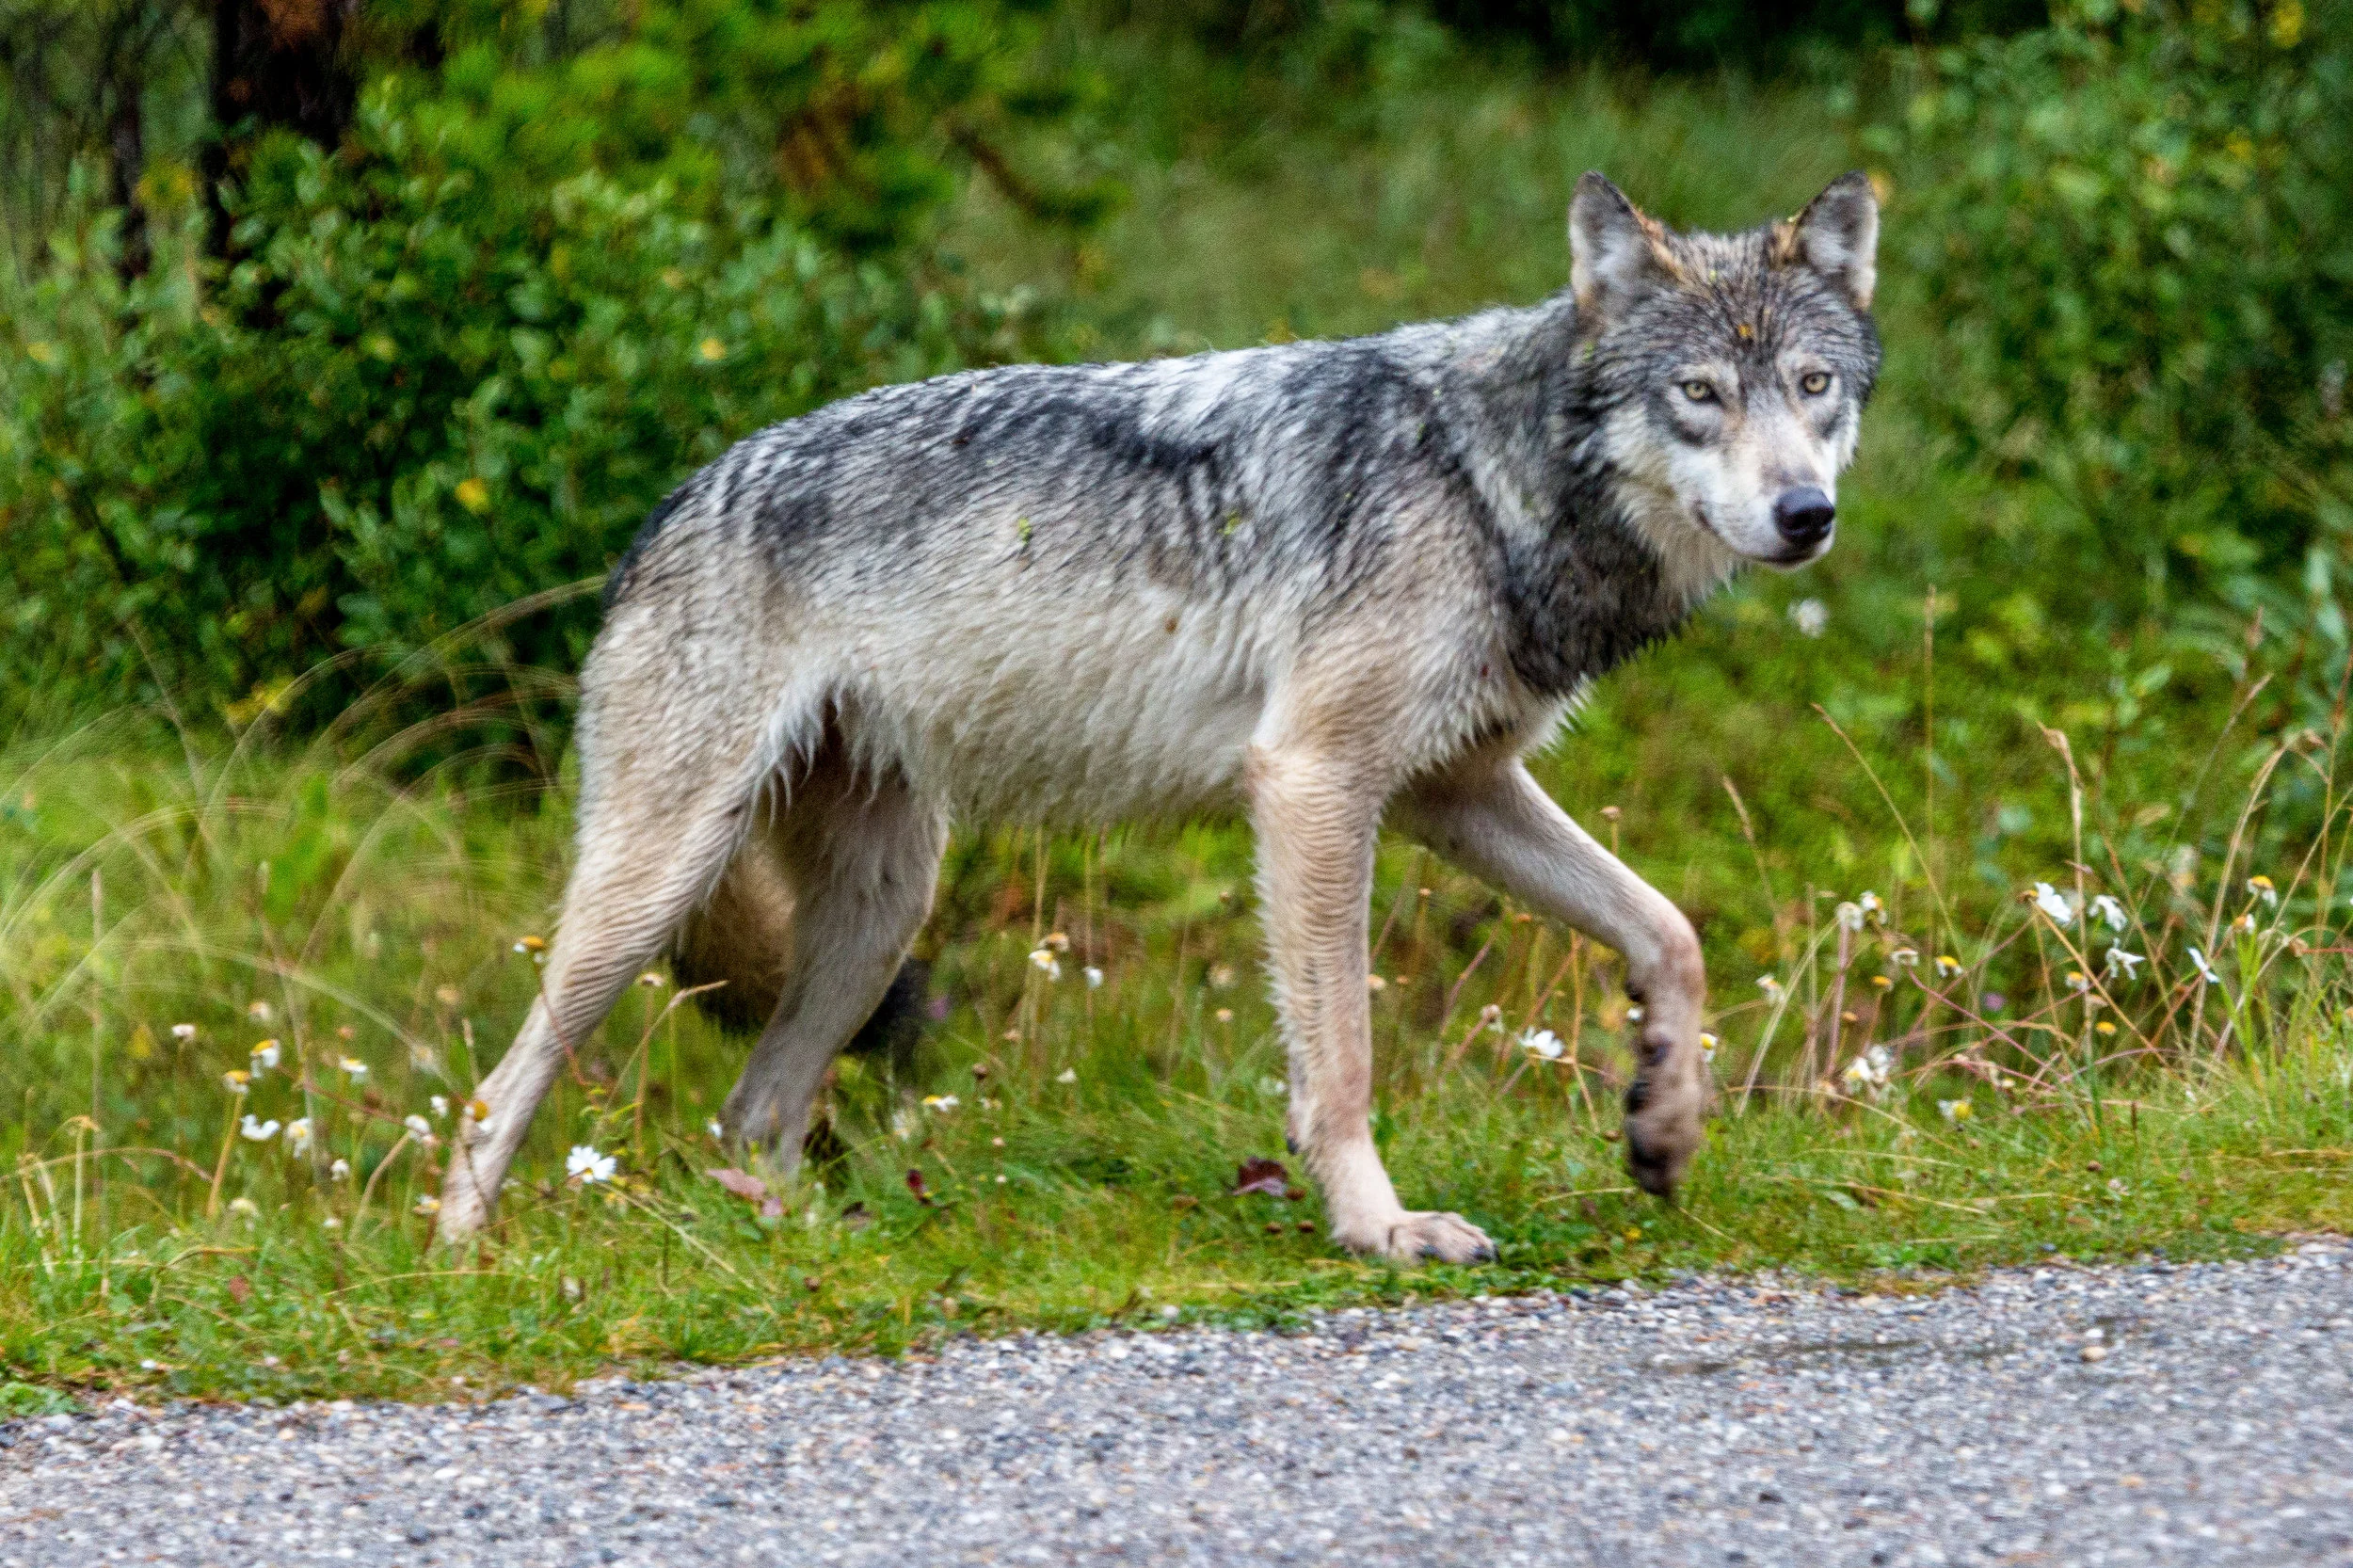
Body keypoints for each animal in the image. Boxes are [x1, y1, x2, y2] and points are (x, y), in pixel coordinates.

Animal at [436, 171, 1881, 1261]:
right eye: (1699, 394)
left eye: (1814, 386)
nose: (1808, 516)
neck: (1489, 479)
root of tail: (668, 506)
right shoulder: (1312, 782)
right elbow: (1342, 1059)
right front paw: (1381, 1229)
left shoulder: (1451, 792)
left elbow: (1672, 932)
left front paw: (1665, 1124)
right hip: (656, 888)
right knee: (495, 1091)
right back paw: (464, 1262)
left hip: (878, 916)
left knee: (751, 1113)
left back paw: (801, 1245)